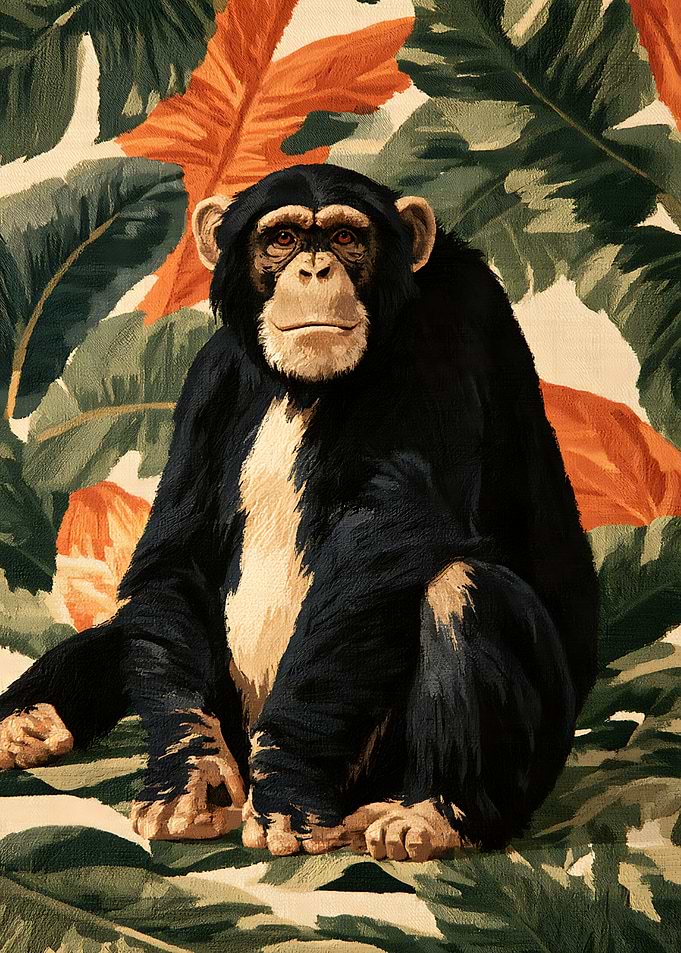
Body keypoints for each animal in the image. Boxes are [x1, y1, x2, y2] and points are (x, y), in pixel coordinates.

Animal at [0, 164, 598, 860]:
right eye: (282, 237)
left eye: (345, 237)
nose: (314, 269)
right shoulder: (207, 380)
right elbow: (174, 558)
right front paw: (191, 770)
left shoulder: (448, 326)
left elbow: (383, 539)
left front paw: (288, 782)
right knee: (140, 621)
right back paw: (31, 720)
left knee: (459, 588)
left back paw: (431, 814)